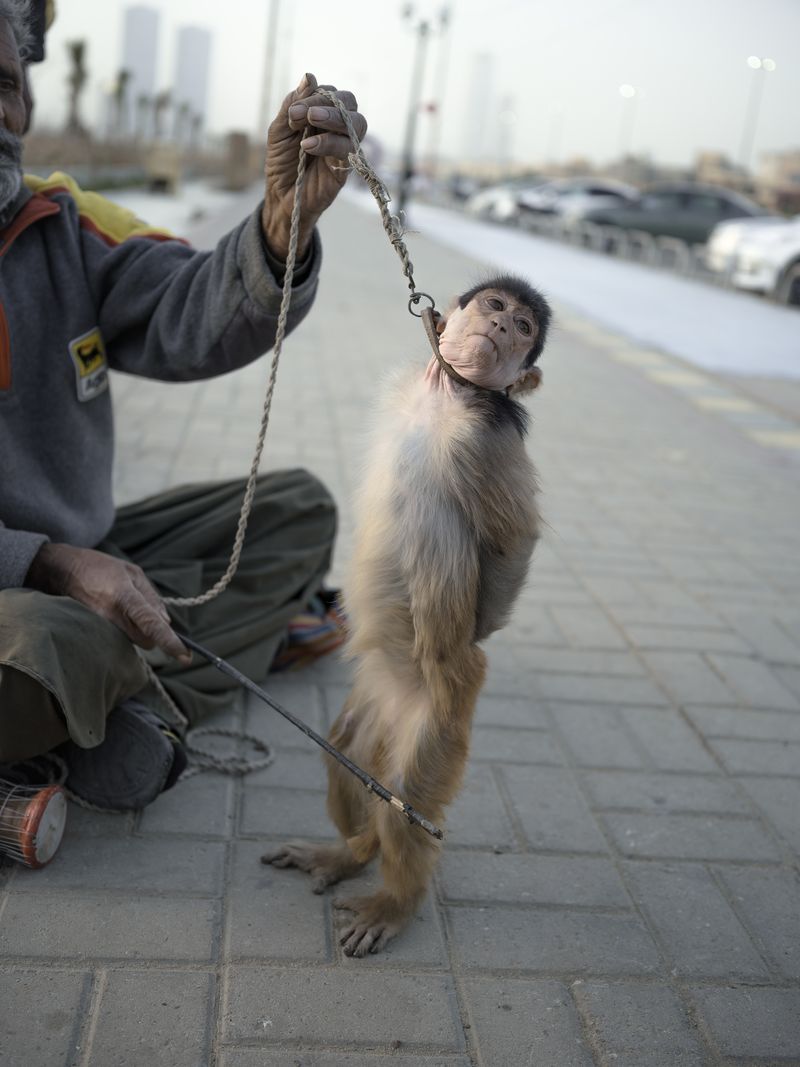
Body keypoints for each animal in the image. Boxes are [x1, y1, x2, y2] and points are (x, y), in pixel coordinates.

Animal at [263, 274, 552, 956]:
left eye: (523, 328)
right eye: (496, 307)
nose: (500, 329)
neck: (449, 393)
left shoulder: (486, 437)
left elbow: (513, 545)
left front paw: (482, 622)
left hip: (442, 713)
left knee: (408, 802)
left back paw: (395, 901)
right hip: (368, 711)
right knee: (346, 766)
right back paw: (351, 851)